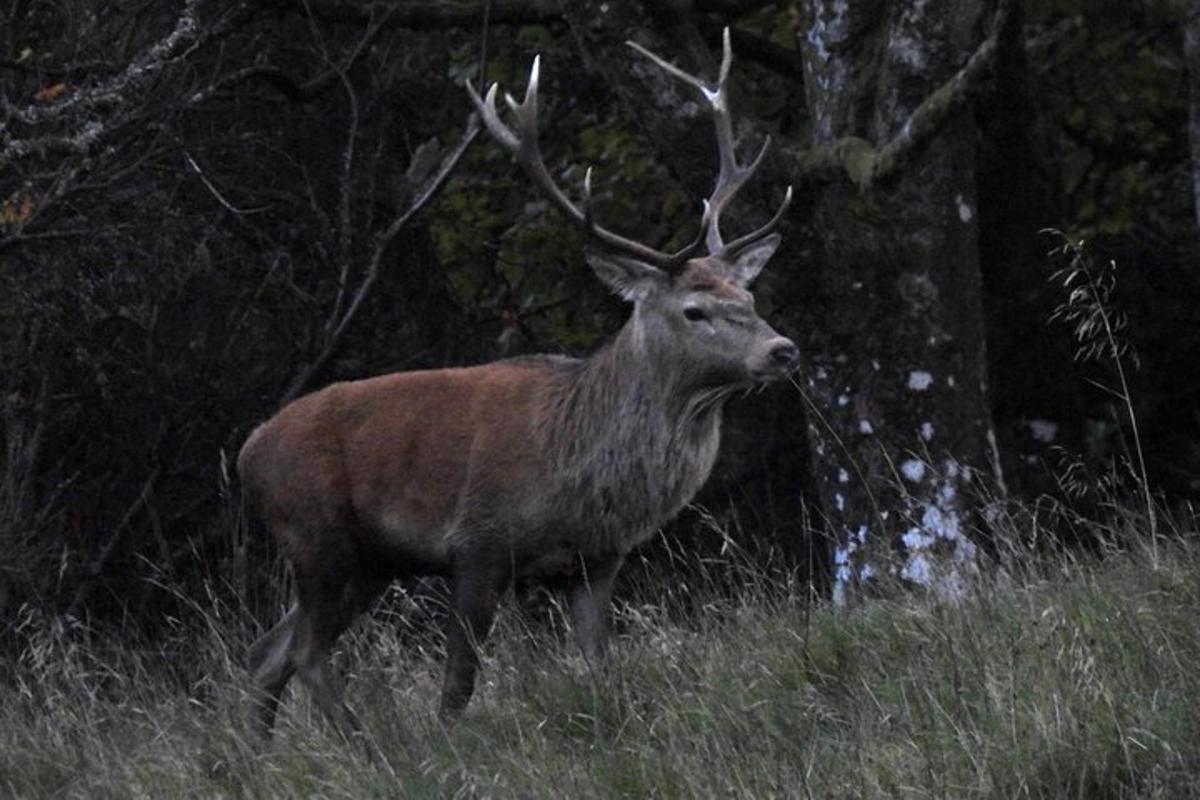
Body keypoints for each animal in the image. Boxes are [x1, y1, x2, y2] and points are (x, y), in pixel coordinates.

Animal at [238, 31, 796, 743]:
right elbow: (458, 682)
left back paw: (260, 754)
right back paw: (369, 746)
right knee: (305, 652)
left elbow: (602, 666)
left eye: (747, 296)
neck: (574, 469)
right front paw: (448, 745)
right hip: (316, 537)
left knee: (268, 652)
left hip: (365, 563)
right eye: (694, 310)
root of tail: (248, 453)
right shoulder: (477, 542)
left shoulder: (596, 562)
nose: (783, 349)